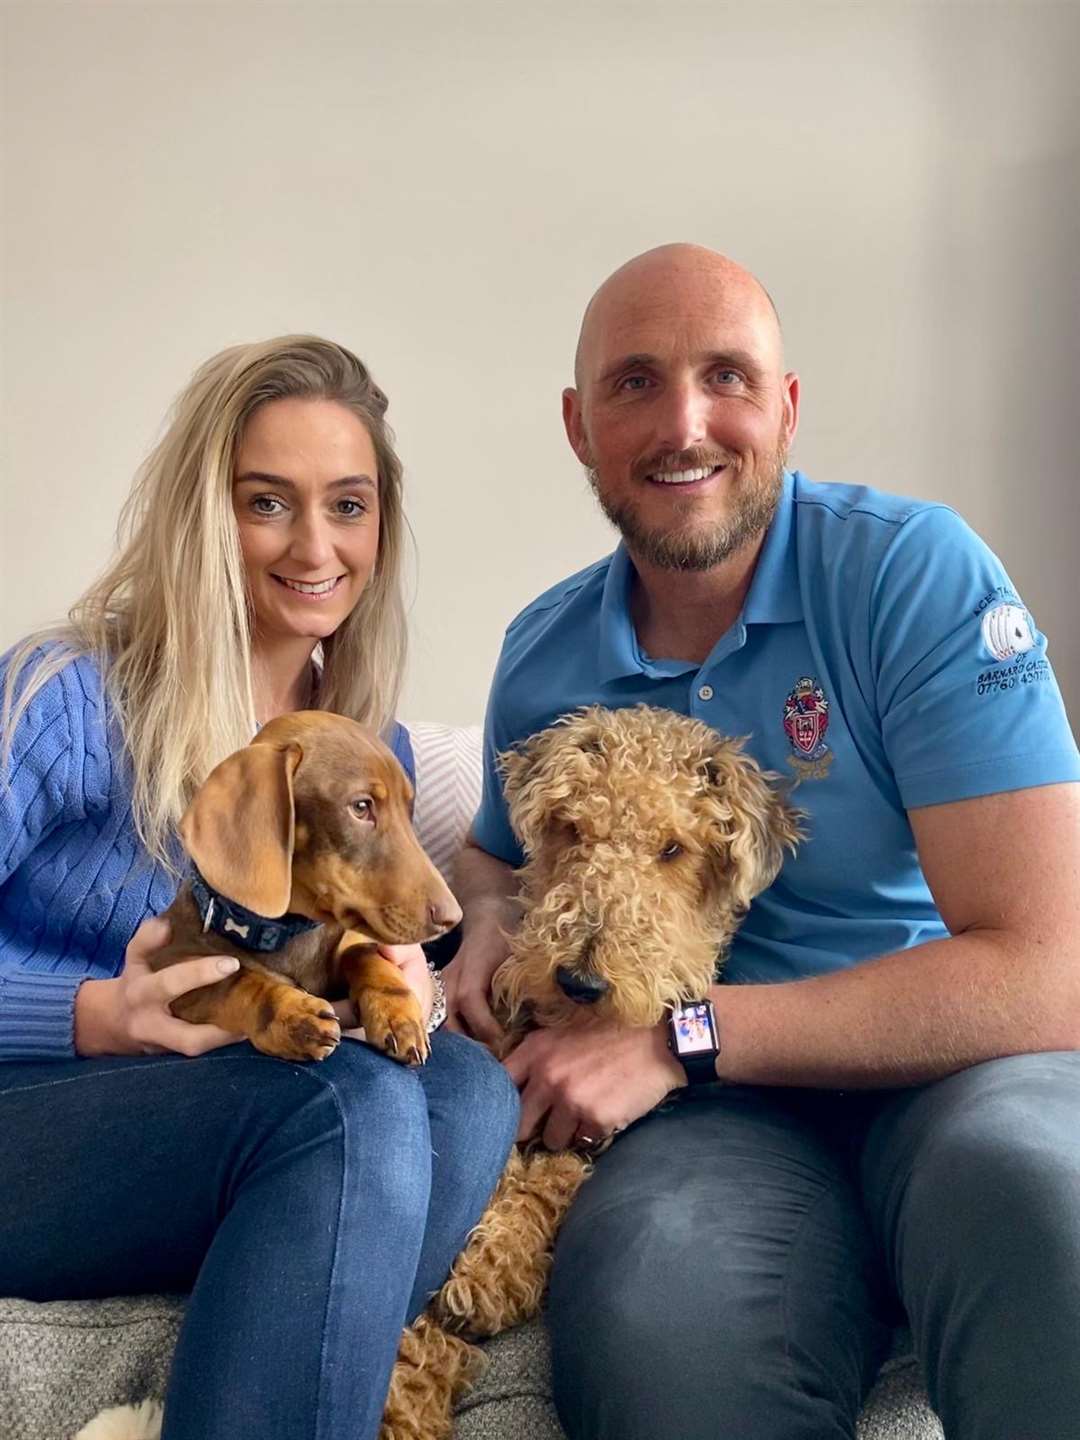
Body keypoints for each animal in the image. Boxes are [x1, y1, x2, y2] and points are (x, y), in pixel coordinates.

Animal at [149, 711, 460, 1065]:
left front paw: (397, 1013)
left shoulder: (353, 940)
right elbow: (236, 981)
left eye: (408, 810)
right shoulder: (174, 969)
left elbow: (365, 955)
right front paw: (291, 1016)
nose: (453, 918)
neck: (294, 931)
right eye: (361, 807)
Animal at [380, 705, 806, 1440]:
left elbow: (548, 1180)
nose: (580, 982)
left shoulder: (581, 1130)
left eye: (674, 849)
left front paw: (491, 1273)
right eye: (573, 828)